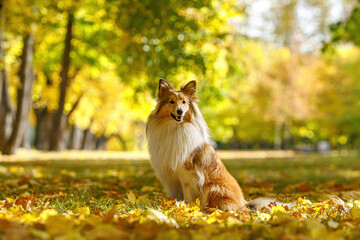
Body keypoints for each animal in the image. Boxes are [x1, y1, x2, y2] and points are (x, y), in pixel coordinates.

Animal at [145, 79, 249, 211]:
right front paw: (172, 206)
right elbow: (175, 196)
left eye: (184, 102)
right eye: (171, 101)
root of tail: (244, 205)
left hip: (214, 188)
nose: (180, 111)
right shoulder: (170, 176)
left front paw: (186, 208)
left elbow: (188, 194)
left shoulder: (186, 173)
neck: (174, 128)